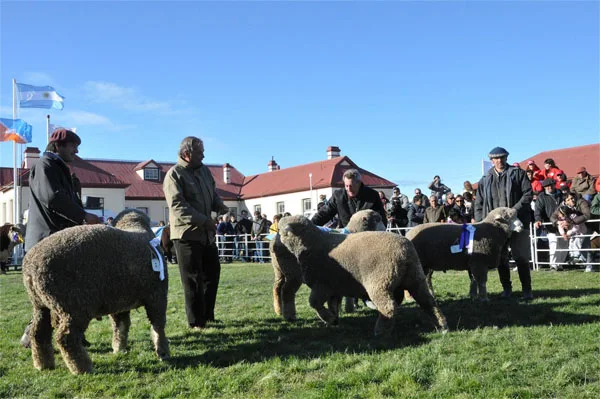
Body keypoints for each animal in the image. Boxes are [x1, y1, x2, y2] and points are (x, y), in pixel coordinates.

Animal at [22, 209, 169, 376]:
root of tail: (31, 268)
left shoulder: (119, 302)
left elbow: (121, 327)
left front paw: (119, 349)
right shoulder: (157, 296)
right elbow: (158, 326)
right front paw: (163, 352)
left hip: (42, 305)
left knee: (38, 333)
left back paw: (43, 364)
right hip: (73, 306)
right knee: (66, 338)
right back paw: (82, 368)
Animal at [276, 216, 446, 338]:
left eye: (283, 231)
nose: (275, 242)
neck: (312, 244)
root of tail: (404, 252)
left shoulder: (322, 285)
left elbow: (314, 303)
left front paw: (328, 319)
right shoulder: (335, 286)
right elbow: (333, 305)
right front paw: (335, 319)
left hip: (379, 282)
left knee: (389, 307)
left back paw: (380, 331)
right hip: (415, 278)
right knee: (428, 302)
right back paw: (442, 325)